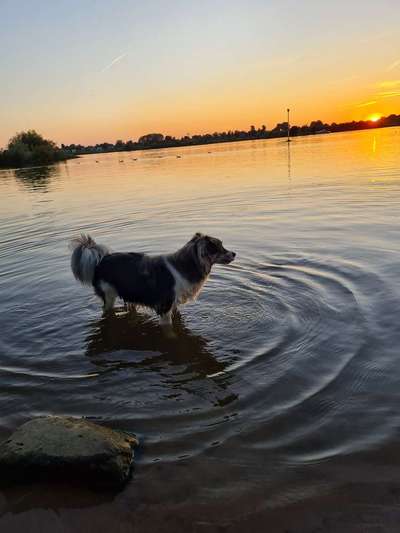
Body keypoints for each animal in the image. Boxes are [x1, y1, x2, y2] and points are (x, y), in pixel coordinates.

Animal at [70, 231, 236, 322]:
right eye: (218, 247)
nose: (234, 253)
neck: (187, 264)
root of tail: (102, 260)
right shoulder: (165, 306)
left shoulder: (174, 304)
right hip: (109, 295)